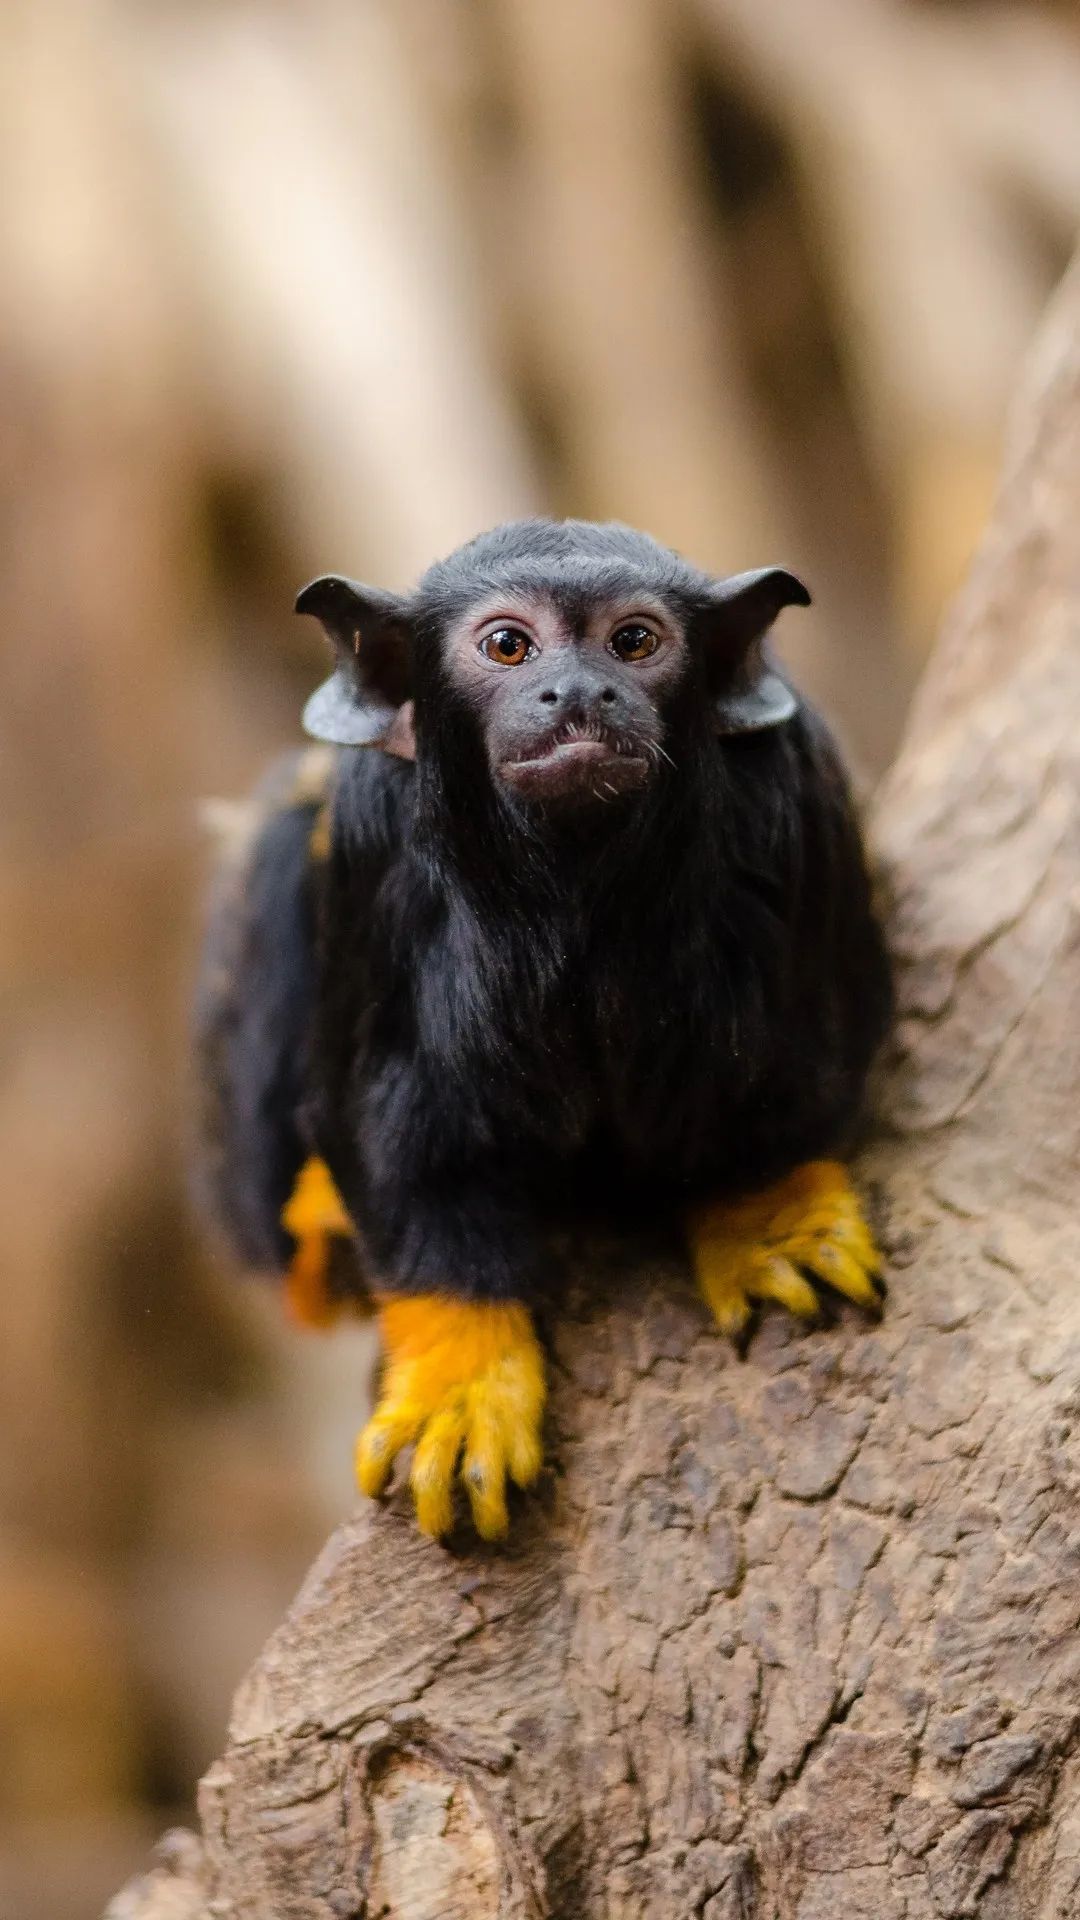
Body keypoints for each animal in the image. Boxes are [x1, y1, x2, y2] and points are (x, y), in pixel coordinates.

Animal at [194, 518, 892, 1542]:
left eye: (633, 642)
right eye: (507, 647)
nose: (578, 692)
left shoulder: (795, 803)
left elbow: (787, 1058)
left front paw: (768, 1213)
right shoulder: (374, 840)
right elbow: (390, 1129)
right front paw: (461, 1367)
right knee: (286, 834)